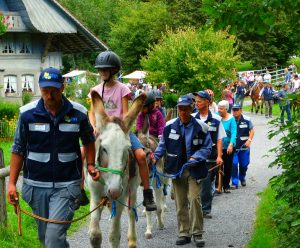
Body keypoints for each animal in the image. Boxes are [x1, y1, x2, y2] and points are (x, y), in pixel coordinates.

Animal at [86, 91, 146, 248]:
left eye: (127, 149)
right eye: (104, 148)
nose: (114, 191)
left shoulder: (120, 197)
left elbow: (114, 235)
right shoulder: (95, 197)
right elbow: (95, 235)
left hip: (132, 189)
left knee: (131, 211)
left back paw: (132, 240)